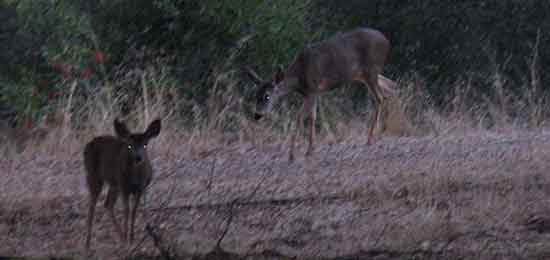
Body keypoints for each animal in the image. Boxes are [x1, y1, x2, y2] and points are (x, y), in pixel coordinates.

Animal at [83, 118, 162, 250]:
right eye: (130, 146)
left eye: (145, 144)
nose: (138, 157)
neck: (135, 178)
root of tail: (89, 143)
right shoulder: (124, 187)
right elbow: (127, 210)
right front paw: (128, 239)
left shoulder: (140, 188)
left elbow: (134, 211)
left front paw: (131, 237)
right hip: (94, 174)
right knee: (92, 206)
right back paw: (88, 243)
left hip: (114, 183)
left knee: (107, 204)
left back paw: (120, 236)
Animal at [248, 26, 398, 160]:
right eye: (255, 95)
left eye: (267, 96)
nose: (257, 115)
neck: (299, 77)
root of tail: (386, 40)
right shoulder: (313, 93)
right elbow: (313, 117)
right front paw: (310, 149)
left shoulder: (313, 90)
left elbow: (300, 117)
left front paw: (292, 155)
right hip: (364, 75)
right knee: (391, 87)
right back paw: (381, 132)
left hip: (371, 70)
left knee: (380, 97)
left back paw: (371, 138)